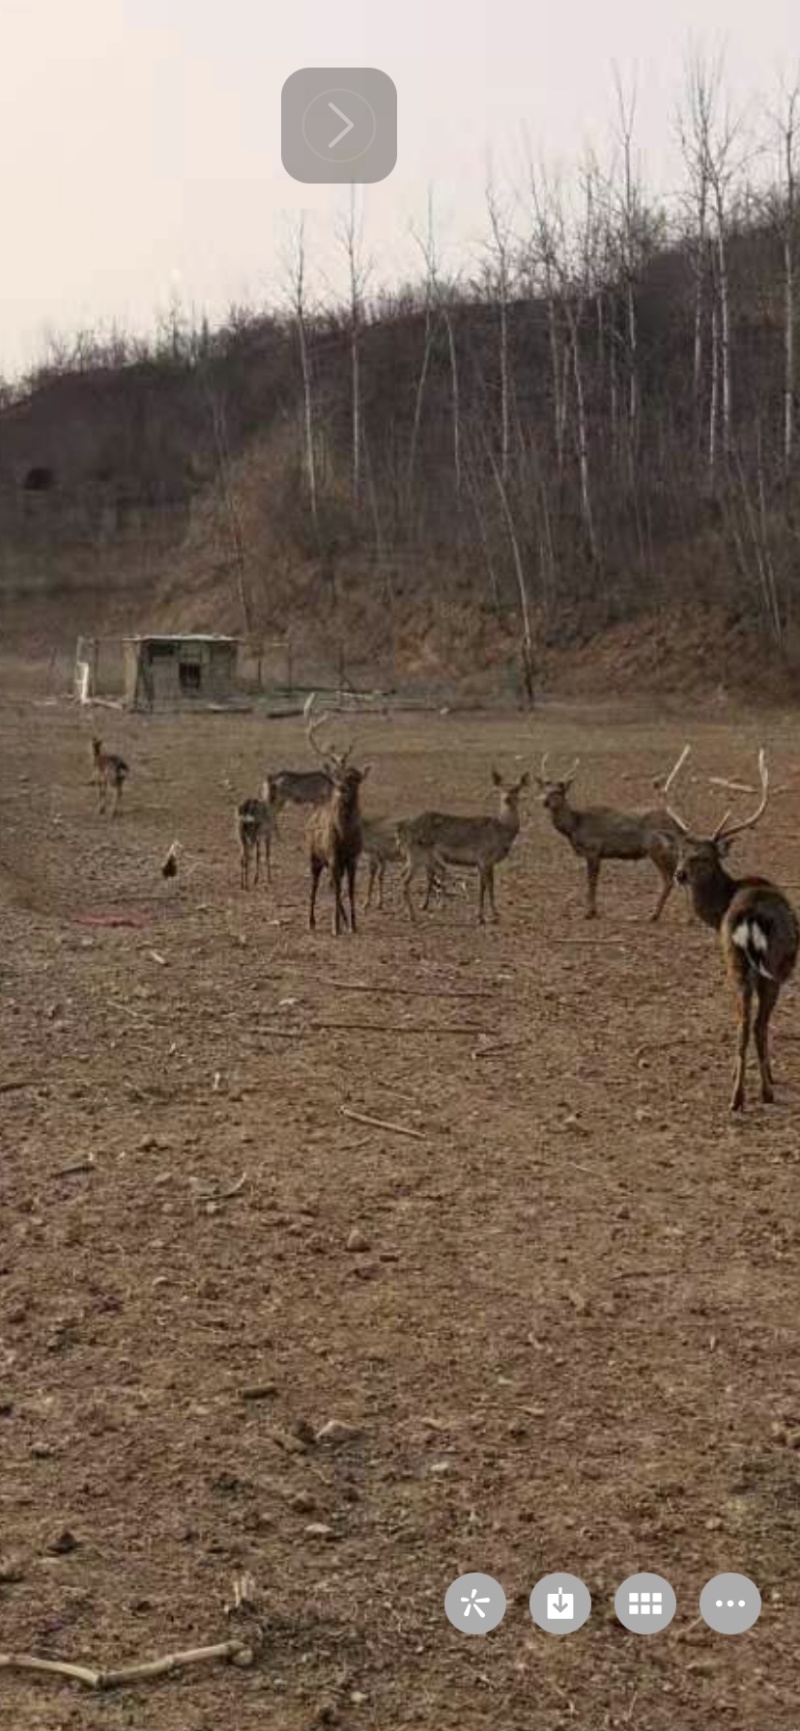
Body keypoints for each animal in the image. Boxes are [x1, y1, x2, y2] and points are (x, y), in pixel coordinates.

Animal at [396, 769, 529, 925]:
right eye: (500, 789)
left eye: (517, 788)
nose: (507, 799)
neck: (502, 832)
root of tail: (401, 831)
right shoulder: (483, 858)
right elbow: (483, 887)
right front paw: (481, 917)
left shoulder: (488, 862)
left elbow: (491, 886)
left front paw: (495, 914)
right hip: (416, 854)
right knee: (406, 880)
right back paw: (413, 915)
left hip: (413, 856)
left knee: (403, 875)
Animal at [536, 747, 689, 920]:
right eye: (544, 789)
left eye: (559, 791)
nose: (545, 802)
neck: (574, 826)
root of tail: (678, 826)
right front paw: (592, 911)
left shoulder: (593, 849)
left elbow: (592, 881)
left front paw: (589, 912)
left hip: (659, 849)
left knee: (670, 880)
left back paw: (657, 915)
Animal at [665, 747, 799, 1113]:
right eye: (682, 852)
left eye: (704, 856)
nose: (679, 874)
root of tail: (748, 918)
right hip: (771, 967)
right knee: (757, 1025)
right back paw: (764, 1091)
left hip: (735, 963)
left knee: (742, 1023)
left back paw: (736, 1097)